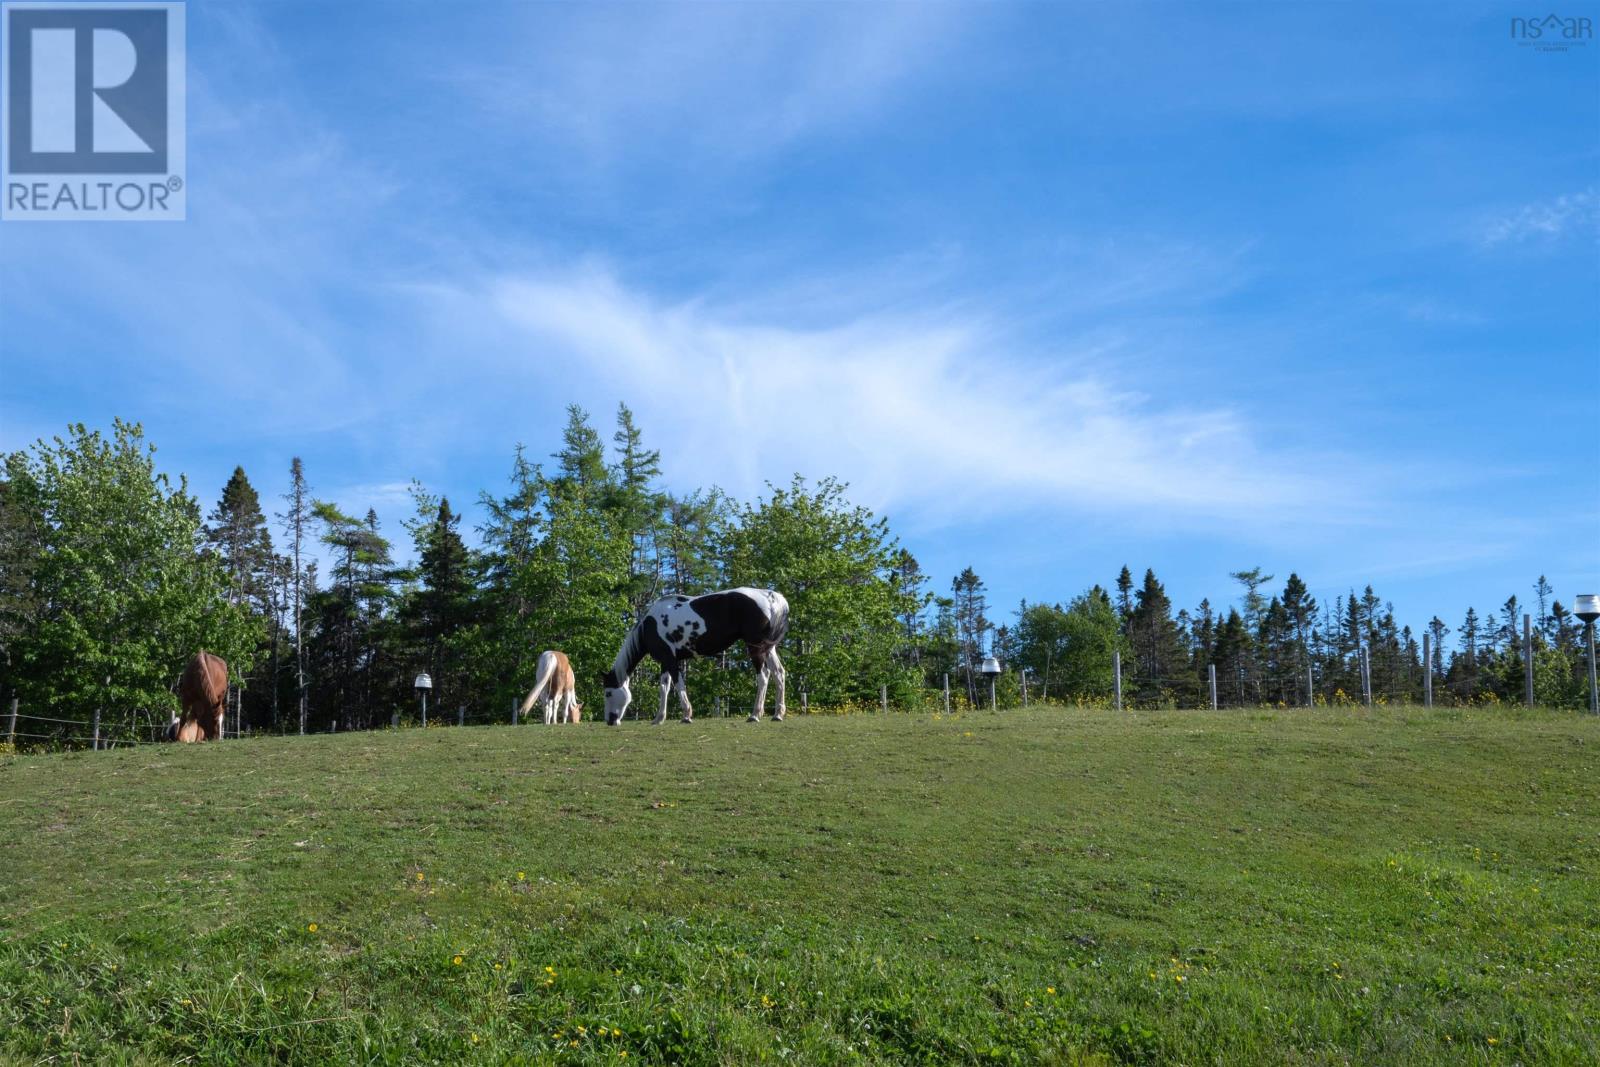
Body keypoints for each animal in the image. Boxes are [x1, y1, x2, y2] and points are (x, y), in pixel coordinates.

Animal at [601, 585, 790, 726]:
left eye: (608, 693)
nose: (610, 721)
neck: (650, 625)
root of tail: (770, 596)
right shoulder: (665, 661)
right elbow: (664, 688)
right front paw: (658, 718)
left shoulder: (671, 660)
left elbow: (679, 685)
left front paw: (686, 715)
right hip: (768, 648)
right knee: (778, 673)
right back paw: (777, 714)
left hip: (755, 647)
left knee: (763, 676)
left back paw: (755, 715)